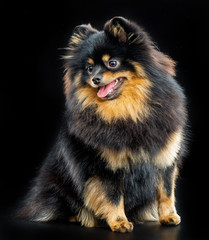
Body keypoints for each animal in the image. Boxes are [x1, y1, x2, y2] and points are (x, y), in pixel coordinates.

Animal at [17, 16, 188, 232]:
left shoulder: (164, 160)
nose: (95, 79)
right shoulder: (104, 168)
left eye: (112, 63)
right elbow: (113, 196)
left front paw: (169, 216)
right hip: (58, 186)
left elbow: (166, 193)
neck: (127, 112)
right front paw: (119, 222)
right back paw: (79, 217)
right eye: (89, 68)